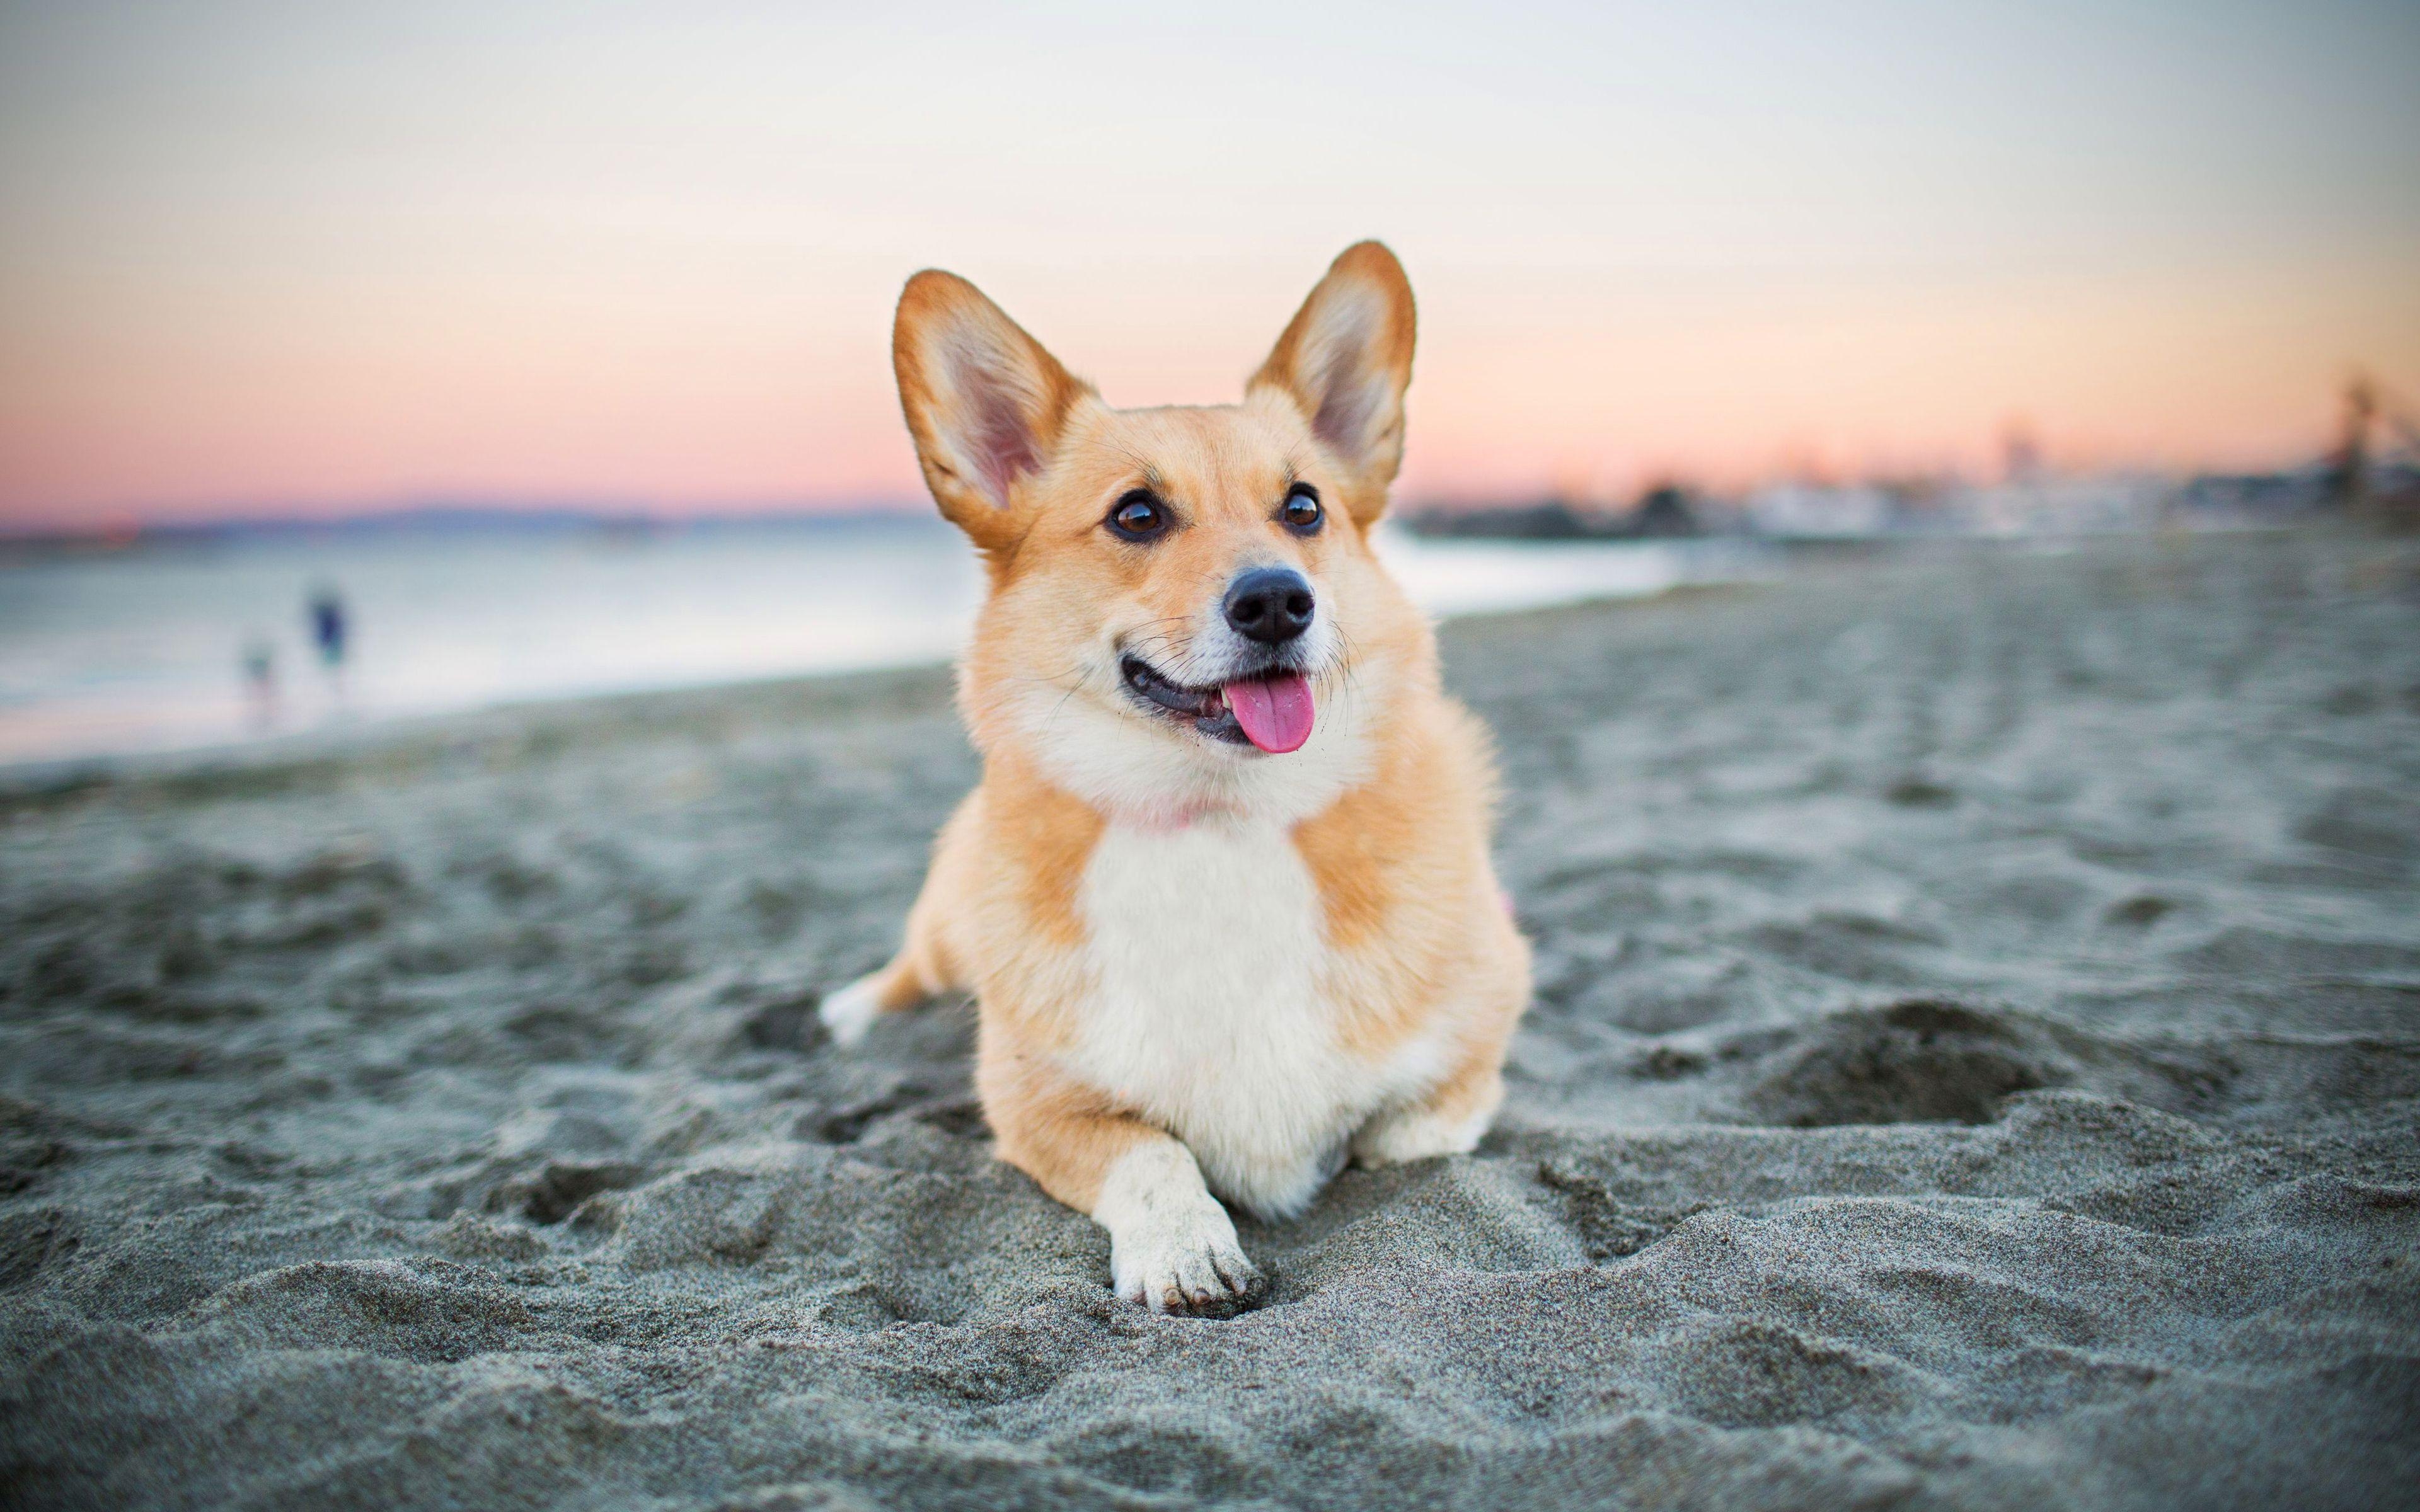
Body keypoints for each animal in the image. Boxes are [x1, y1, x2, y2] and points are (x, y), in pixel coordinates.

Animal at [817, 238, 1529, 1306]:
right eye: (1138, 515)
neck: (1220, 820)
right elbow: (1150, 1152)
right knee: (915, 962)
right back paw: (855, 1008)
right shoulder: (1036, 1102)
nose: (1277, 602)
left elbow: (1413, 1137)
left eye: (1304, 508)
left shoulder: (1473, 1048)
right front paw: (1185, 1248)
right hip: (947, 921)